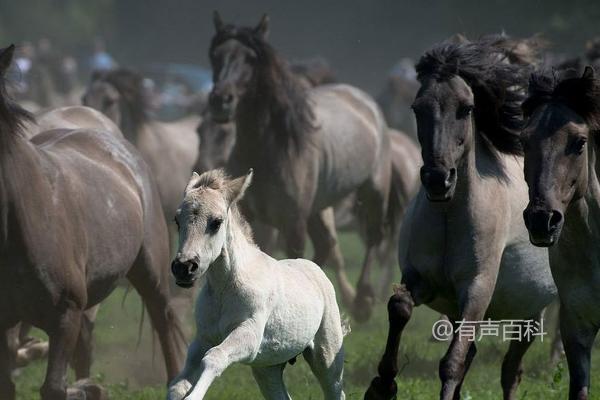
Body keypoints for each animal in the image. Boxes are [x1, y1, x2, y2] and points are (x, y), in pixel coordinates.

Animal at [169, 169, 346, 400]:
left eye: (216, 222)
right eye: (177, 220)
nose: (184, 267)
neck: (224, 290)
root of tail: (315, 270)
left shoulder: (249, 334)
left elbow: (214, 357)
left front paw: (194, 396)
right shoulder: (203, 339)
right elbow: (178, 384)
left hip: (327, 358)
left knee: (335, 389)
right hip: (267, 368)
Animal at [207, 12, 394, 322]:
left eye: (250, 58)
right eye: (215, 55)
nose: (220, 101)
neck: (268, 149)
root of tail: (364, 101)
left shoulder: (293, 221)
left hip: (374, 192)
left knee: (372, 237)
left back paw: (362, 301)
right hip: (317, 208)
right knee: (324, 248)